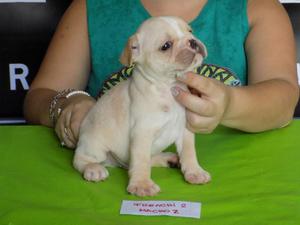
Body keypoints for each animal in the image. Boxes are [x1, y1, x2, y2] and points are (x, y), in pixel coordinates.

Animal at [73, 15, 211, 196]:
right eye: (166, 46)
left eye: (190, 31)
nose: (193, 41)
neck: (167, 86)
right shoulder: (142, 133)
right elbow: (141, 160)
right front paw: (142, 184)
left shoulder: (185, 130)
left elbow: (189, 152)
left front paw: (194, 172)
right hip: (95, 145)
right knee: (80, 159)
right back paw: (93, 169)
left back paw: (167, 158)